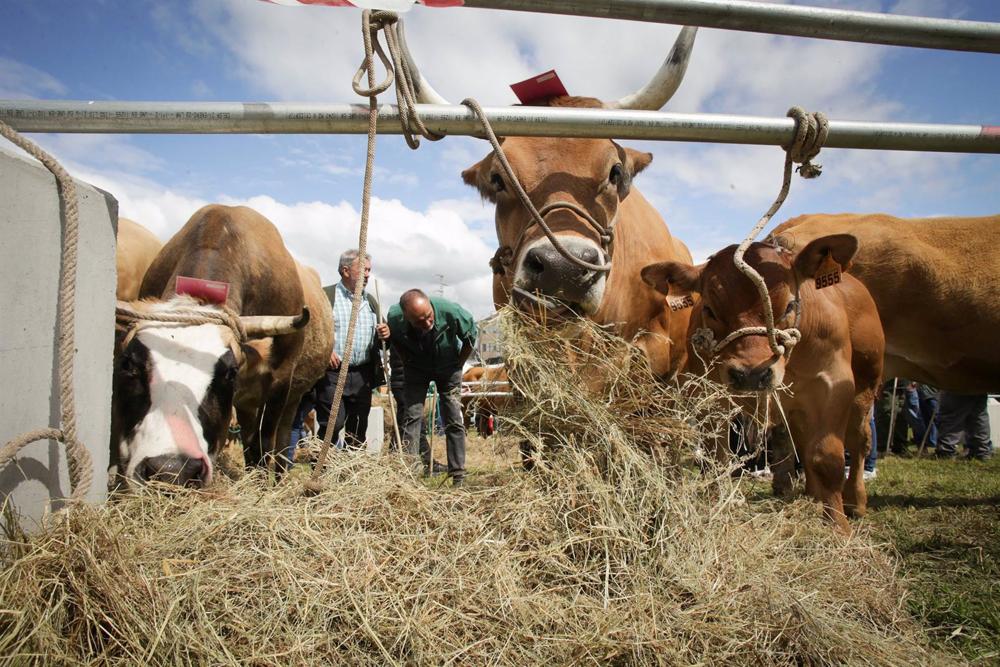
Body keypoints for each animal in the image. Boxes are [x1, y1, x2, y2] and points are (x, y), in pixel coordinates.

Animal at [110, 204, 331, 488]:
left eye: (230, 373)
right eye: (127, 364)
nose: (171, 471)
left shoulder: (281, 380)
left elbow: (266, 441)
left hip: (294, 396)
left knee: (281, 442)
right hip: (248, 401)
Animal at [641, 235, 885, 532]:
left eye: (790, 305)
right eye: (710, 309)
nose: (751, 373)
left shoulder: (833, 386)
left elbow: (828, 458)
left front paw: (838, 528)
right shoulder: (710, 395)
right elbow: (717, 459)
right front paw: (715, 510)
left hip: (866, 385)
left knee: (859, 440)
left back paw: (854, 501)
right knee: (799, 441)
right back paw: (810, 493)